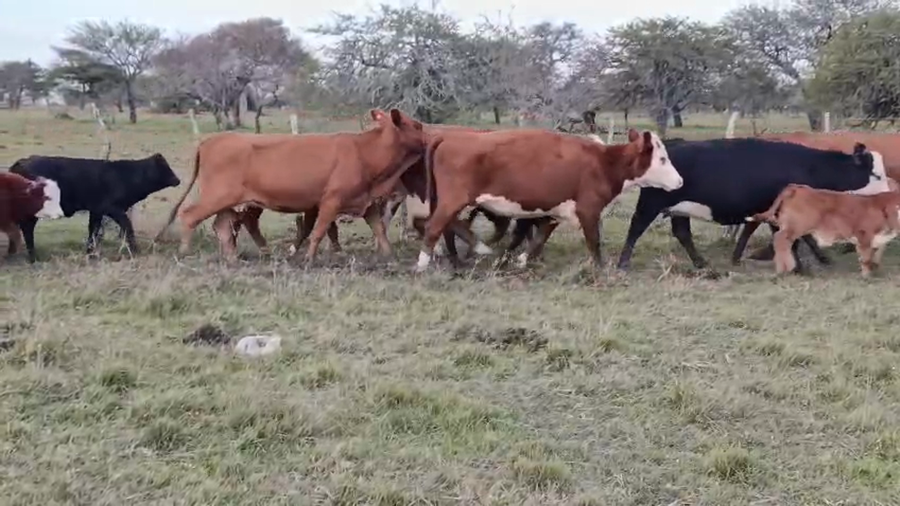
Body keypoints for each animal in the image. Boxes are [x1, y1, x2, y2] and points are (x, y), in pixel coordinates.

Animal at [9, 153, 180, 262]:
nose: (178, 180)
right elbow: (127, 226)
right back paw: (32, 257)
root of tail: (21, 162)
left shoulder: (96, 210)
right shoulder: (113, 209)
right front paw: (135, 250)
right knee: (27, 230)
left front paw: (90, 252)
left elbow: (93, 230)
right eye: (165, 167)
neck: (124, 175)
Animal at [154, 108, 428, 264]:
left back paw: (232, 258)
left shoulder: (366, 201)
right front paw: (308, 258)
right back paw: (185, 252)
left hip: (229, 201)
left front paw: (389, 256)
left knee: (223, 225)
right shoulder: (330, 201)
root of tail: (210, 141)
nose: (429, 136)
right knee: (190, 215)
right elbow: (319, 231)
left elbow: (379, 230)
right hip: (216, 197)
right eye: (417, 125)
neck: (365, 151)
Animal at [414, 128, 684, 273]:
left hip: (447, 200)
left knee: (446, 225)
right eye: (662, 159)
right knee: (434, 226)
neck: (603, 162)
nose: (680, 181)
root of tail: (451, 136)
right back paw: (422, 264)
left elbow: (540, 237)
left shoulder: (556, 211)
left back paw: (475, 250)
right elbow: (594, 241)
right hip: (454, 199)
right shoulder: (589, 210)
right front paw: (599, 269)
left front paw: (521, 260)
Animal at [614, 138, 891, 272]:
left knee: (682, 233)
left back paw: (702, 263)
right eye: (876, 174)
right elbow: (796, 237)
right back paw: (623, 263)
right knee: (636, 227)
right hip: (652, 203)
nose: (889, 194)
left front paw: (739, 257)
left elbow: (756, 230)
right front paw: (800, 265)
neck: (807, 165)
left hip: (679, 209)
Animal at [746, 183, 900, 277]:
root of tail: (796, 187)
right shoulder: (863, 235)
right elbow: (866, 258)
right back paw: (786, 268)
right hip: (796, 226)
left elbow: (875, 256)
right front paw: (866, 275)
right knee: (780, 240)